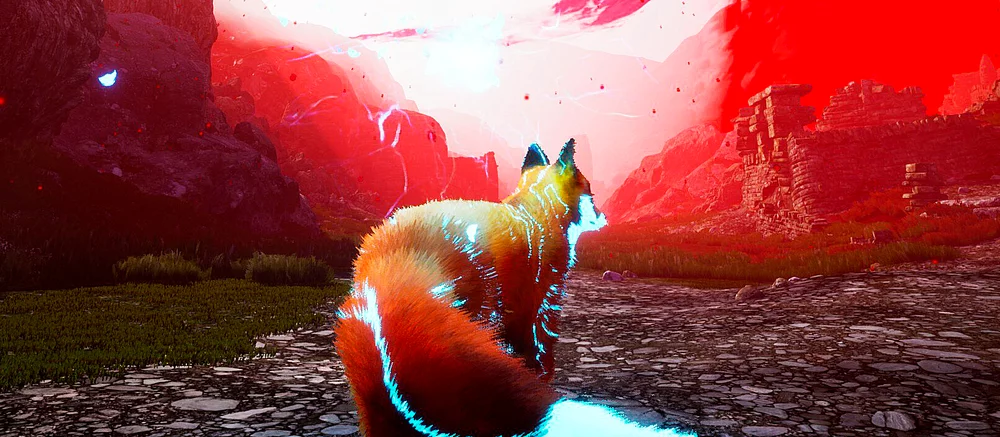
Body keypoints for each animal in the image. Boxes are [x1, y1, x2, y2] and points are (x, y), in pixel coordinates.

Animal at [334, 139, 694, 437]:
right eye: (590, 192)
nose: (605, 218)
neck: (535, 211)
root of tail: (397, 260)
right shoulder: (541, 302)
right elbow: (539, 356)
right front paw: (541, 378)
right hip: (486, 311)